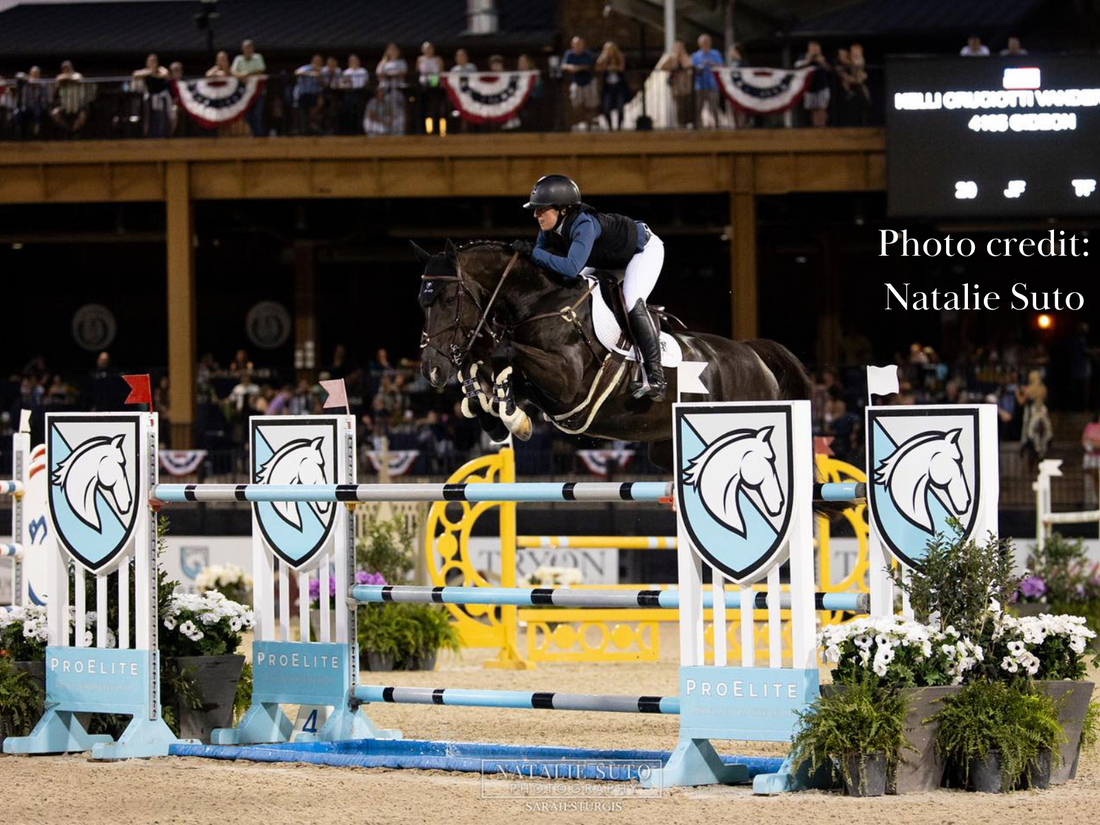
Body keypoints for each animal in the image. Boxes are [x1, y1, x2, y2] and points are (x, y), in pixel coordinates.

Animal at [415, 240, 814, 470]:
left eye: (448, 300)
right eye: (422, 302)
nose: (431, 370)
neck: (538, 300)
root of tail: (753, 354)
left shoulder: (566, 385)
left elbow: (505, 351)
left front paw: (510, 417)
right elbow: (491, 363)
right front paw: (495, 413)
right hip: (665, 449)